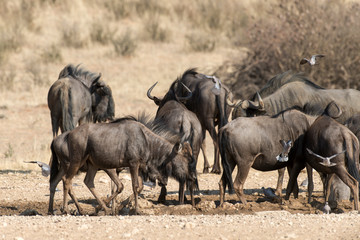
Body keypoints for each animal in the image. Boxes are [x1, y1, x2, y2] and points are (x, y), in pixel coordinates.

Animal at [48, 115, 197, 215]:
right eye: (186, 159)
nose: (192, 178)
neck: (146, 140)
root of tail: (68, 135)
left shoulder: (135, 166)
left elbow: (130, 187)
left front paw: (115, 208)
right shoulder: (131, 164)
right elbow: (133, 186)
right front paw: (136, 210)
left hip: (90, 165)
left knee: (83, 182)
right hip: (74, 162)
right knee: (67, 181)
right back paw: (66, 209)